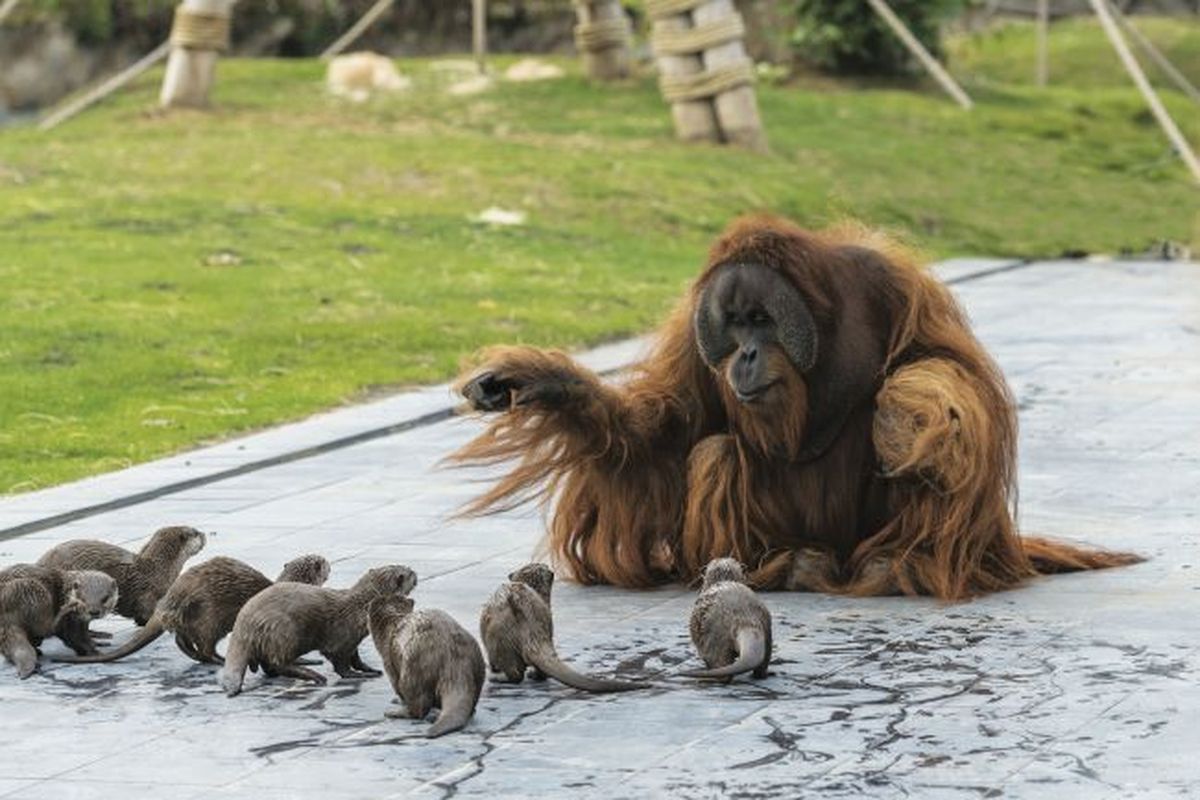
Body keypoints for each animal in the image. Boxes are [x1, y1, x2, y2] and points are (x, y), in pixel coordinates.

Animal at [55, 554, 328, 666]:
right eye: (323, 562)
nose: (327, 561)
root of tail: (171, 599)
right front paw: (307, 660)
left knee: (183, 640)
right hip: (210, 617)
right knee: (204, 646)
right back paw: (219, 660)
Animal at [219, 561, 417, 695]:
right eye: (409, 573)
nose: (415, 572)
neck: (360, 609)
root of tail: (245, 621)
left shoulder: (353, 639)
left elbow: (356, 657)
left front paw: (369, 669)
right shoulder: (342, 638)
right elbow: (341, 663)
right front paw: (356, 675)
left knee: (268, 664)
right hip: (285, 631)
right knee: (277, 663)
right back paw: (314, 675)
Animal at [372, 594, 489, 738]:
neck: (391, 625)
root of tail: (454, 661)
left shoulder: (388, 662)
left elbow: (397, 688)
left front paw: (398, 701)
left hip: (412, 670)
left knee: (418, 707)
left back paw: (395, 713)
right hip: (478, 664)